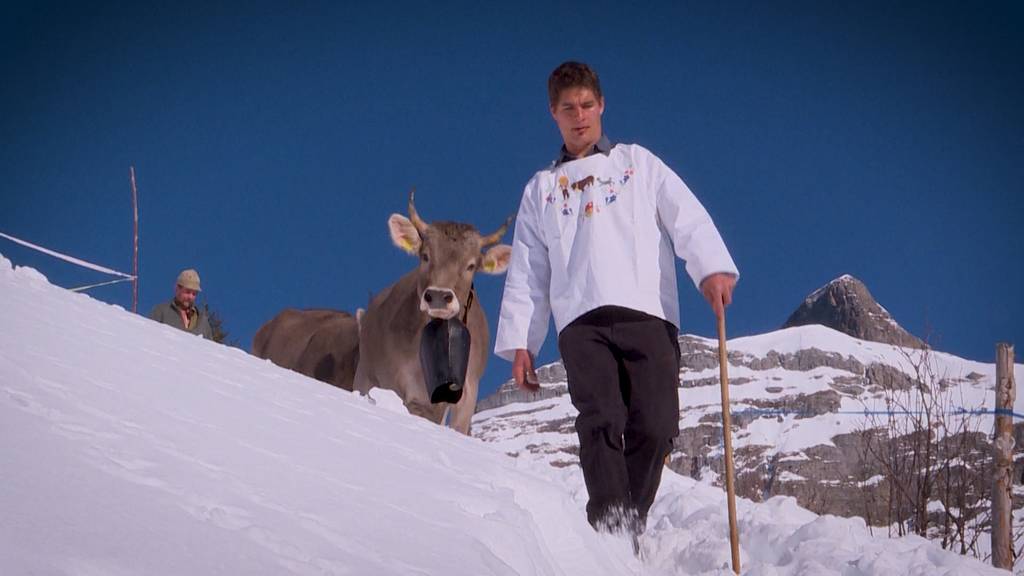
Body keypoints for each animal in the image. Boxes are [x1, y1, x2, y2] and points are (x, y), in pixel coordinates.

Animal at [356, 190, 512, 432]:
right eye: (425, 256)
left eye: (471, 266)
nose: (438, 296)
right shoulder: (400, 385)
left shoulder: (467, 392)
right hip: (365, 374)